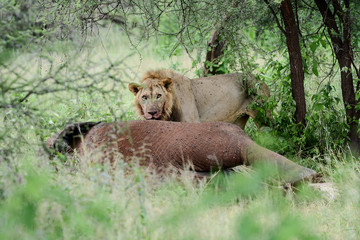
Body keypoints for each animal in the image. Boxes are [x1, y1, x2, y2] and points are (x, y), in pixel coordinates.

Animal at [128, 70, 268, 129]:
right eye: (144, 97)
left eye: (159, 95)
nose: (152, 113)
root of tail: (259, 79)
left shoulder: (193, 121)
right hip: (239, 120)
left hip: (263, 118)